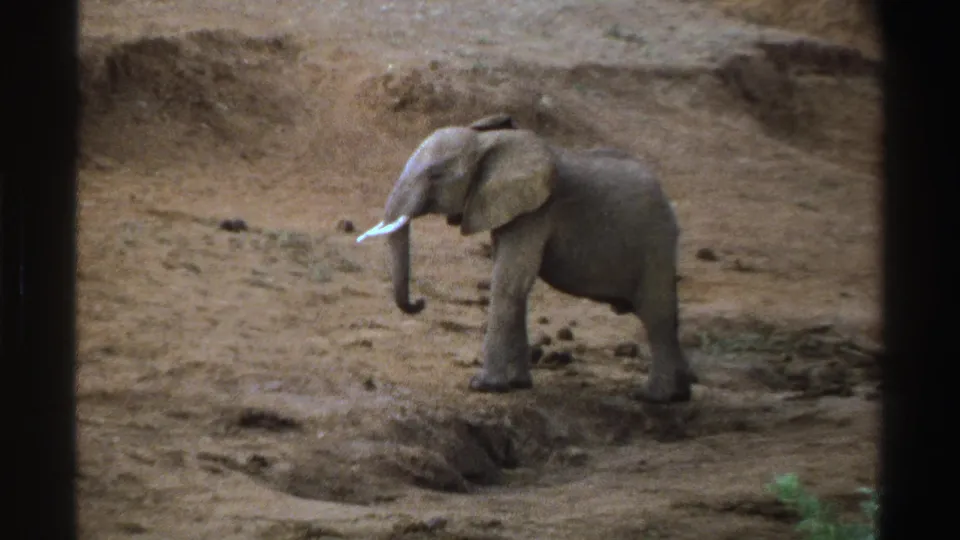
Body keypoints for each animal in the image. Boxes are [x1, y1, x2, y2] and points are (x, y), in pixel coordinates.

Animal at [356, 114, 696, 403]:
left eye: (435, 175)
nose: (420, 302)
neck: (488, 143)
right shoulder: (505, 208)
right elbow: (514, 284)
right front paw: (518, 385)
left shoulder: (536, 212)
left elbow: (509, 282)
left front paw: (483, 386)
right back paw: (680, 393)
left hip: (654, 243)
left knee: (656, 313)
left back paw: (654, 397)